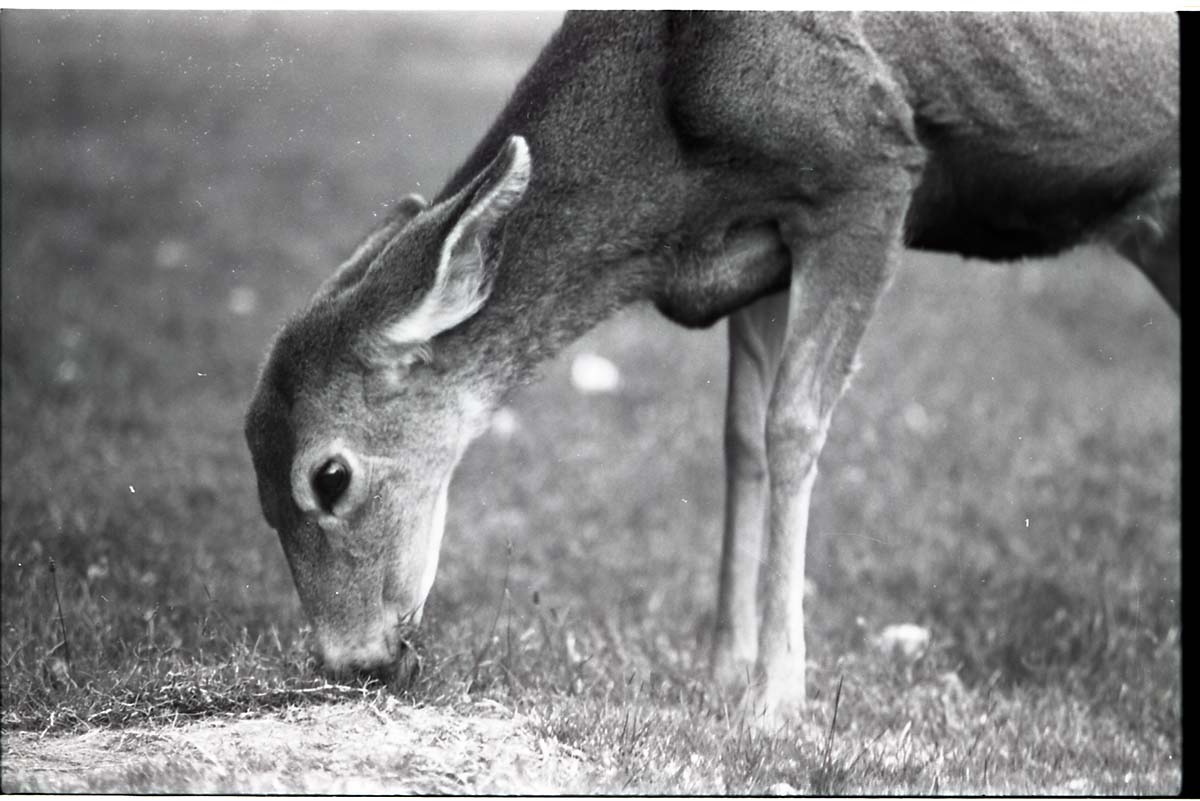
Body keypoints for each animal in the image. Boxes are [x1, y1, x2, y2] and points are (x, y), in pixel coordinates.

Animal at [245, 11, 1179, 727]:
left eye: (329, 476)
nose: (350, 660)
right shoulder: (763, 243)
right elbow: (740, 437)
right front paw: (723, 667)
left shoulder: (870, 169)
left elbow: (794, 424)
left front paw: (776, 698)